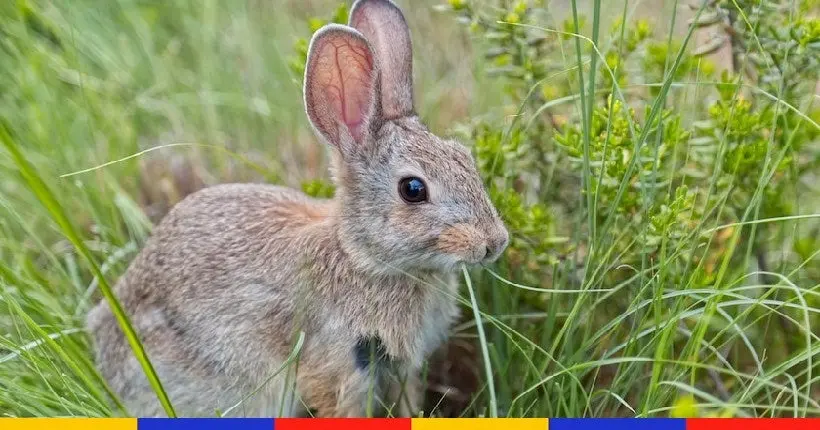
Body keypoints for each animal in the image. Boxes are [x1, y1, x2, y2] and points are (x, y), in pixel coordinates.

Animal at [83, 0, 506, 418]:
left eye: (465, 157)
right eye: (413, 189)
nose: (494, 243)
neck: (363, 258)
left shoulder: (401, 368)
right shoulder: (338, 365)